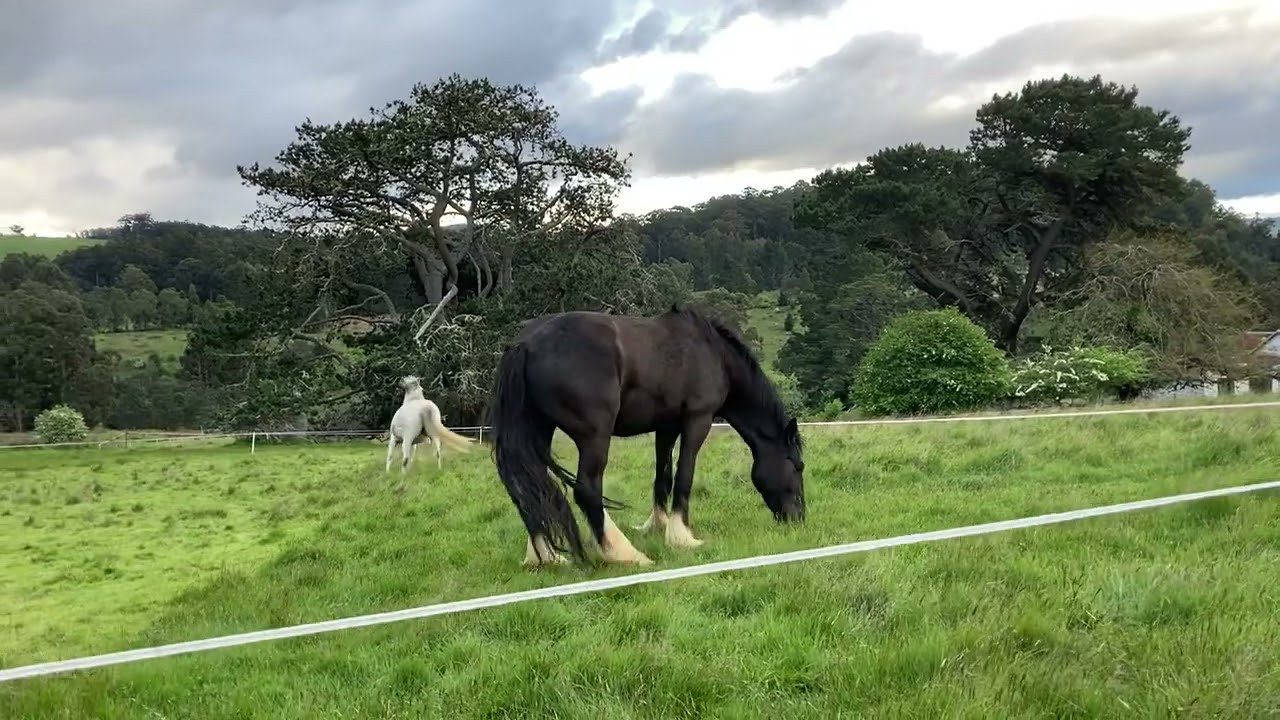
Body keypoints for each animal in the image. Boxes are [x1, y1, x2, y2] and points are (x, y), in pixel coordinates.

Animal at [486, 305, 805, 569]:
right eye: (797, 466)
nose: (798, 518)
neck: (713, 354)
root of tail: (525, 345)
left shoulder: (666, 427)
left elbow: (662, 477)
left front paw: (658, 525)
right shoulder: (697, 421)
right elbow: (684, 476)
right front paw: (682, 536)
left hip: (539, 430)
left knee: (531, 488)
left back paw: (547, 555)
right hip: (594, 436)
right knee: (586, 490)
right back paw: (625, 554)